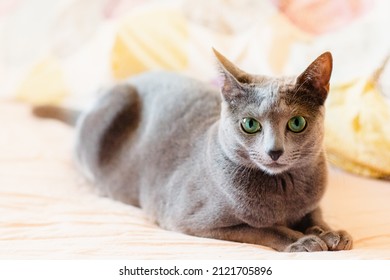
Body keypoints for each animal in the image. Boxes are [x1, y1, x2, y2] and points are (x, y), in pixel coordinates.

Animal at [34, 49, 354, 253]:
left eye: (297, 123)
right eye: (250, 125)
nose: (274, 151)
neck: (285, 190)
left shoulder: (311, 203)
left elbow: (315, 216)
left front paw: (330, 233)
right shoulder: (193, 220)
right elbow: (263, 229)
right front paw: (301, 241)